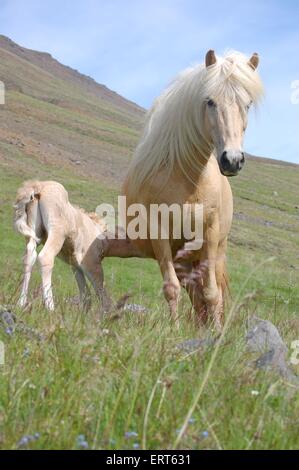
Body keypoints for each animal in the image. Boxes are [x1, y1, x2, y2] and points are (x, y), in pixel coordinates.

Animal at [123, 49, 264, 328]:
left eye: (247, 104)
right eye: (209, 101)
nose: (232, 160)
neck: (188, 177)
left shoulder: (209, 234)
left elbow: (212, 293)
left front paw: (217, 333)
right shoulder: (160, 236)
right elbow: (172, 289)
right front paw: (174, 330)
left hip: (213, 252)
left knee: (209, 292)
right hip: (185, 260)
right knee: (192, 295)